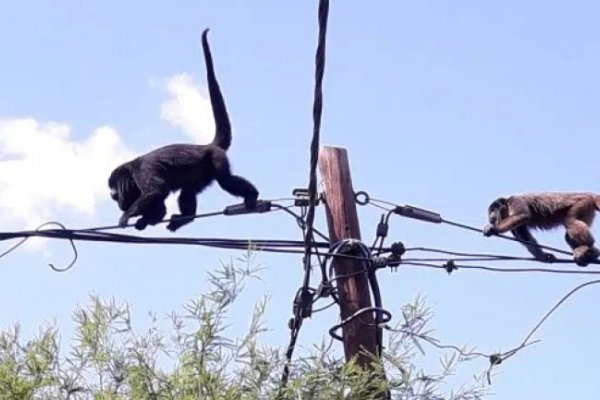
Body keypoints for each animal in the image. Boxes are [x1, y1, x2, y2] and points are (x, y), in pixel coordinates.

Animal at [109, 28, 258, 231]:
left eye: (116, 194)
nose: (118, 202)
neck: (132, 171)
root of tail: (207, 146)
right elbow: (160, 202)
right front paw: (146, 219)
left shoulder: (143, 172)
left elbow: (157, 190)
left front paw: (128, 215)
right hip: (203, 174)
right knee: (188, 191)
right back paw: (184, 218)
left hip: (216, 158)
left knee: (225, 181)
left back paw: (252, 195)